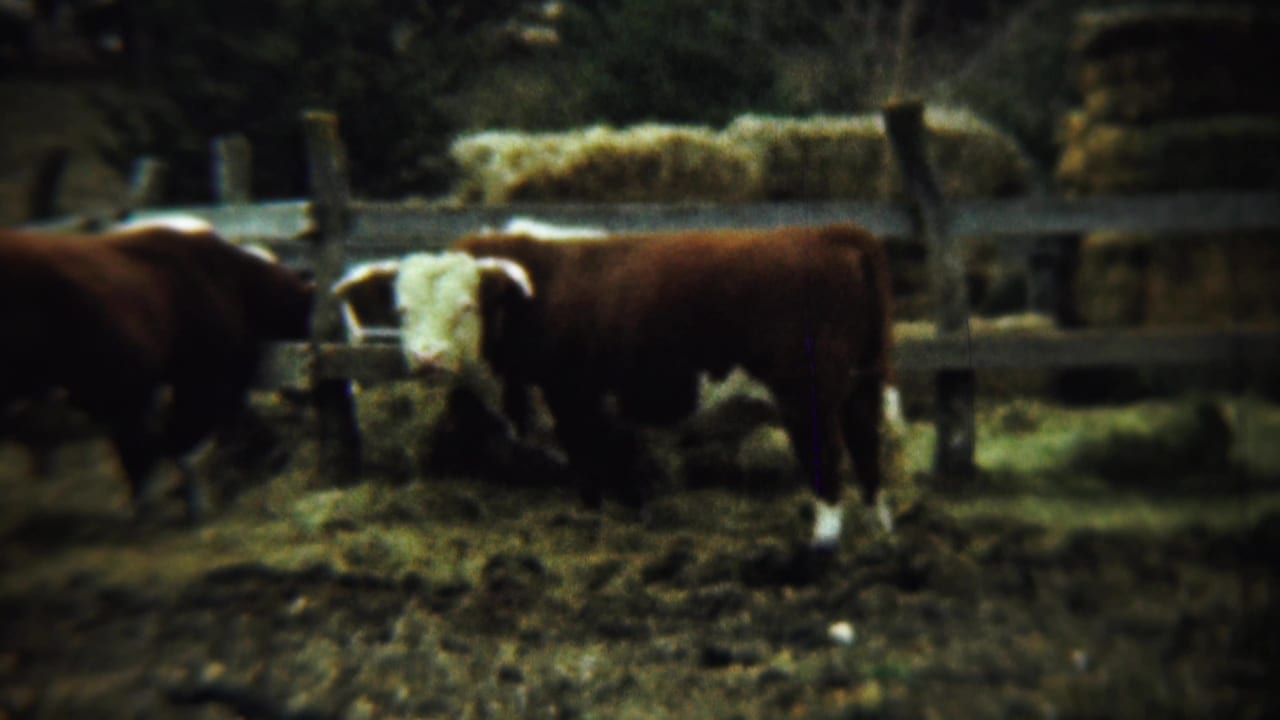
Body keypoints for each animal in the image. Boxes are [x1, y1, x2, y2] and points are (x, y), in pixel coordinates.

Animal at [377, 223, 895, 553]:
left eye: (466, 306)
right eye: (402, 309)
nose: (427, 357)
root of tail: (830, 233)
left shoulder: (572, 400)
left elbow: (589, 469)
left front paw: (592, 523)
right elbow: (621, 469)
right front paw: (634, 518)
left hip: (808, 399)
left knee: (829, 463)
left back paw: (822, 545)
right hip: (861, 390)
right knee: (869, 457)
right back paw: (880, 535)